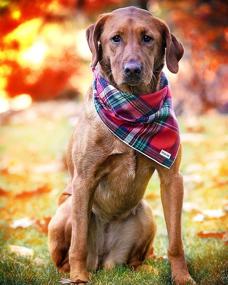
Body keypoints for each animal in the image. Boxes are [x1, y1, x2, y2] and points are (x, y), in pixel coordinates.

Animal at [47, 6, 194, 284]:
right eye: (115, 38)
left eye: (148, 38)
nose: (132, 69)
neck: (132, 110)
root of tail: (104, 261)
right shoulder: (84, 180)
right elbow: (78, 243)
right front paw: (79, 277)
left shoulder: (172, 178)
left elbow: (175, 241)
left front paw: (181, 276)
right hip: (66, 211)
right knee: (65, 257)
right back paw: (71, 273)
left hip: (146, 213)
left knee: (134, 260)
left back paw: (144, 268)